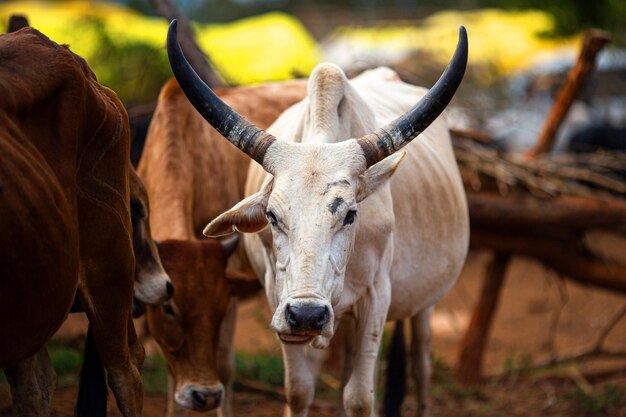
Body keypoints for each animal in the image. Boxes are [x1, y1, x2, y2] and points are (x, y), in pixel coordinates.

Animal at [166, 20, 468, 416]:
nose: (308, 314)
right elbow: (299, 390)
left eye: (351, 214)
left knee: (422, 366)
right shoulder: (278, 299)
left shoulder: (376, 299)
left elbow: (359, 398)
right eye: (271, 216)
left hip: (425, 304)